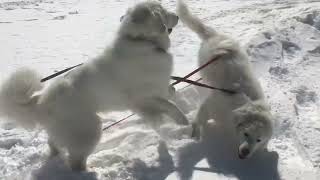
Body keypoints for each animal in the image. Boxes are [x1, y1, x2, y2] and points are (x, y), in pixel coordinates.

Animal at [0, 0, 189, 171]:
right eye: (163, 11)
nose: (177, 16)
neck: (144, 42)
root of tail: (41, 100)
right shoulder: (142, 98)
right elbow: (169, 105)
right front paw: (182, 120)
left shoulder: (148, 97)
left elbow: (168, 94)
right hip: (89, 128)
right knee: (76, 161)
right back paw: (90, 170)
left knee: (54, 143)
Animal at [176, 0, 274, 160]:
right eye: (246, 134)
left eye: (259, 140)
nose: (246, 153)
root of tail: (215, 35)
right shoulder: (211, 105)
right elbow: (199, 119)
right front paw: (195, 133)